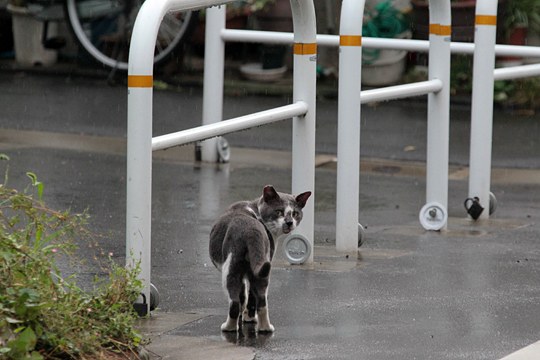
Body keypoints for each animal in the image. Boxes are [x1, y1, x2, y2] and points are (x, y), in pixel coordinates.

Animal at [211, 186, 312, 332]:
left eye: (295, 213)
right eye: (279, 211)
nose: (289, 222)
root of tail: (251, 229)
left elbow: (243, 296)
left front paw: (245, 317)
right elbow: (247, 296)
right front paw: (247, 317)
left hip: (231, 268)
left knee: (234, 302)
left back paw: (229, 327)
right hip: (262, 270)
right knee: (261, 301)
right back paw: (265, 327)